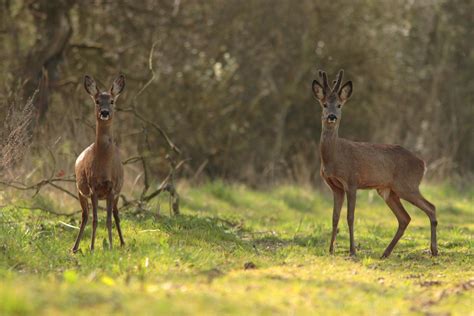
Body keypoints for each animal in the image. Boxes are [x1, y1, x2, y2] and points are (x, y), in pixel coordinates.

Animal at [71, 73, 125, 252]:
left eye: (112, 101)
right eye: (97, 101)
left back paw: (122, 243)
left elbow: (108, 219)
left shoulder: (112, 188)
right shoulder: (93, 187)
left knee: (116, 214)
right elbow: (95, 220)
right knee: (85, 216)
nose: (105, 112)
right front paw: (93, 247)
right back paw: (75, 247)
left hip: (117, 193)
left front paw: (110, 246)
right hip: (80, 190)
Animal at [312, 69, 438, 260]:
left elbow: (350, 217)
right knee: (405, 218)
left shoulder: (352, 181)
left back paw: (434, 250)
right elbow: (334, 217)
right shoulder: (335, 186)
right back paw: (385, 253)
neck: (334, 156)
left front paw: (352, 251)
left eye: (339, 105)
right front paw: (330, 250)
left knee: (431, 207)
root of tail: (422, 163)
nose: (331, 116)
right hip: (388, 191)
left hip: (407, 185)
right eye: (325, 104)